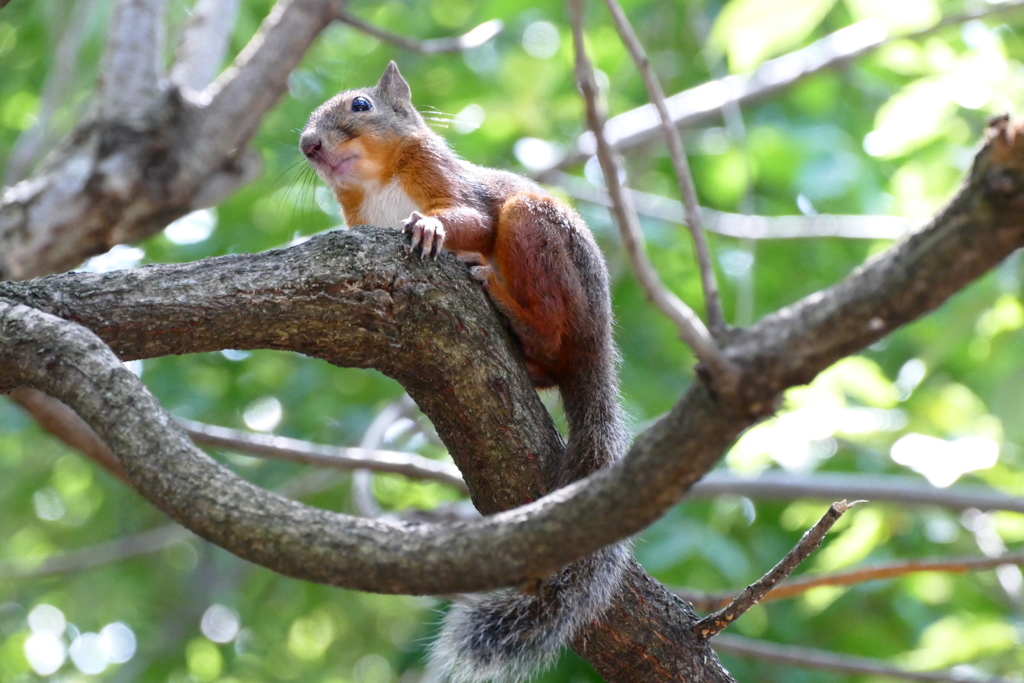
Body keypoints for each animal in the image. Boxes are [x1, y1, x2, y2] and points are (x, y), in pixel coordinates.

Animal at [299, 62, 626, 683]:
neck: (375, 181)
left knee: (545, 320)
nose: (308, 145)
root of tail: (599, 342)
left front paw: (431, 229)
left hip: (536, 230)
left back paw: (503, 300)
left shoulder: (444, 177)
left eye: (360, 105)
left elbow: (470, 217)